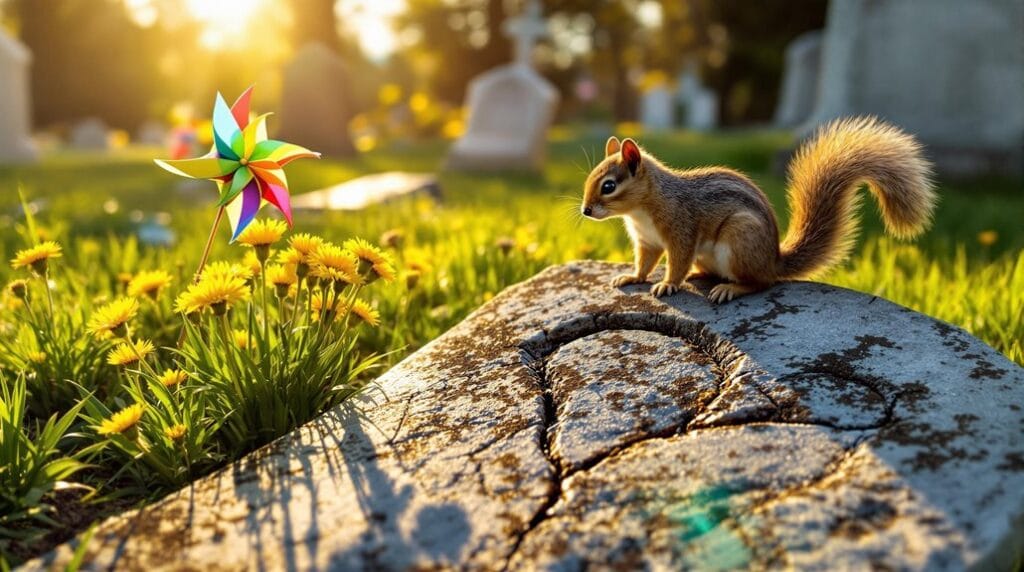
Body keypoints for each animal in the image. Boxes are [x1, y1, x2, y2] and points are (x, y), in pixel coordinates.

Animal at [581, 117, 936, 303]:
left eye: (609, 186)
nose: (585, 211)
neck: (641, 210)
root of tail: (773, 260)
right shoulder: (647, 241)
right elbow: (644, 263)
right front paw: (631, 277)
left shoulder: (681, 229)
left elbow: (677, 260)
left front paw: (668, 283)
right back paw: (702, 274)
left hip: (740, 239)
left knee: (761, 284)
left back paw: (730, 288)